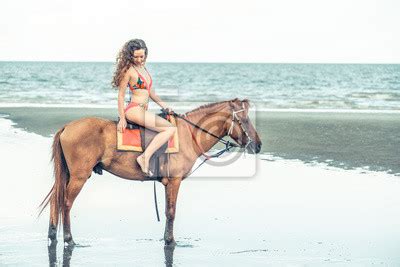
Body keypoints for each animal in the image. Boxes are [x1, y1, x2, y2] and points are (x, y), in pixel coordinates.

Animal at [39, 98, 260, 247]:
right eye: (244, 119)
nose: (258, 145)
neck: (187, 134)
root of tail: (67, 127)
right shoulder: (174, 181)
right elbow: (171, 212)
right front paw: (170, 240)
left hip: (68, 175)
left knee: (56, 201)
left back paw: (53, 235)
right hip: (79, 177)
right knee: (66, 203)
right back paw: (68, 239)